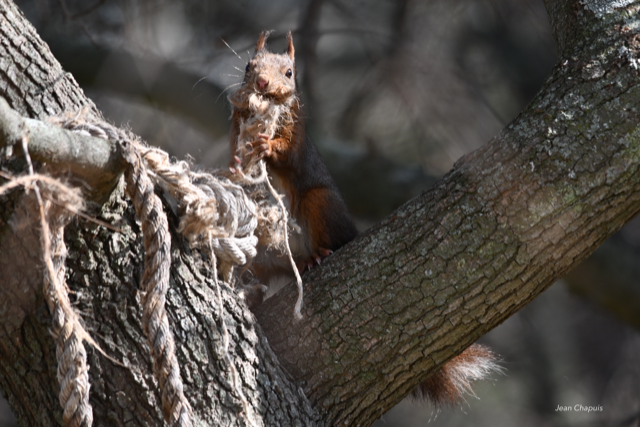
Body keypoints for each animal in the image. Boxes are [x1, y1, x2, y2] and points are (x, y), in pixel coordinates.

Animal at [226, 30, 500, 408]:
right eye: (249, 66)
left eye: (289, 73)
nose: (263, 83)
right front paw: (239, 159)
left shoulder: (297, 135)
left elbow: (288, 154)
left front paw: (266, 145)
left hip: (320, 203)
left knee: (331, 239)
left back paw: (315, 258)